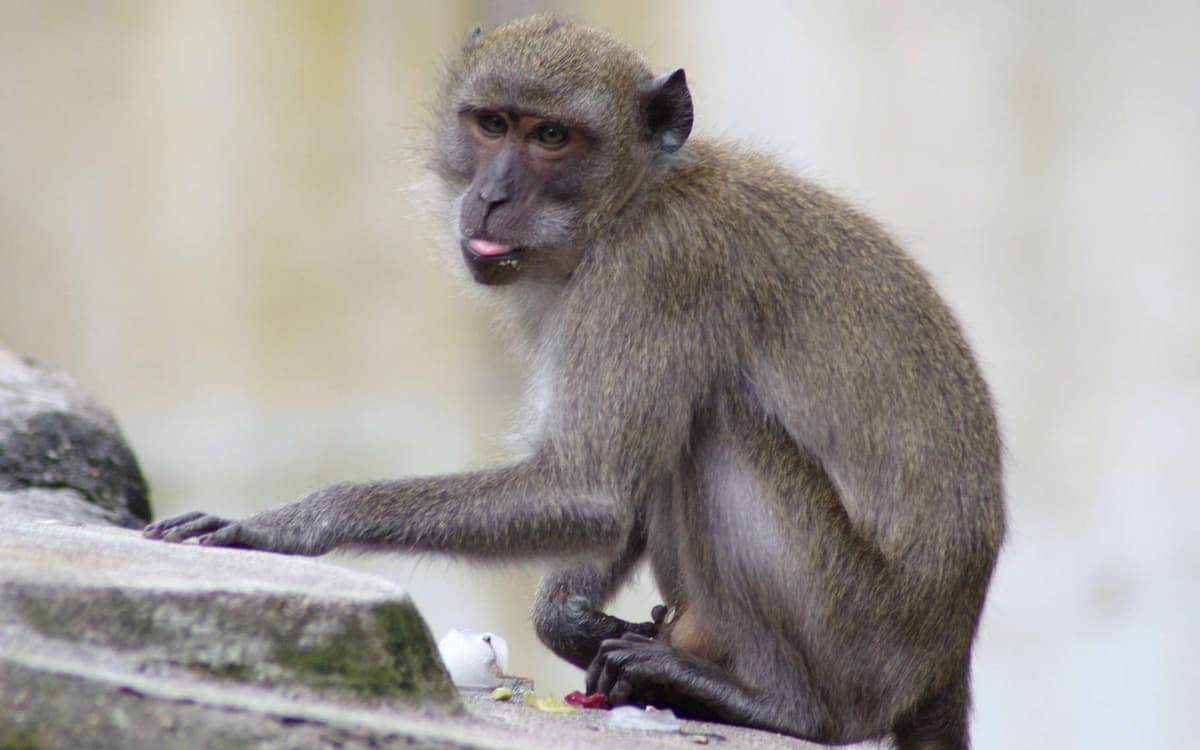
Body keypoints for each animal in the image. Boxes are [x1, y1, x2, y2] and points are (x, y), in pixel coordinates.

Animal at [144, 15, 1005, 749]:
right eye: (492, 124)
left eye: (552, 137)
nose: (491, 195)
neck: (634, 200)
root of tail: (947, 651)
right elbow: (604, 497)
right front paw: (576, 621)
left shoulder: (655, 271)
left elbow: (588, 485)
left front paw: (295, 521)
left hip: (858, 631)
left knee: (719, 429)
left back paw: (787, 706)